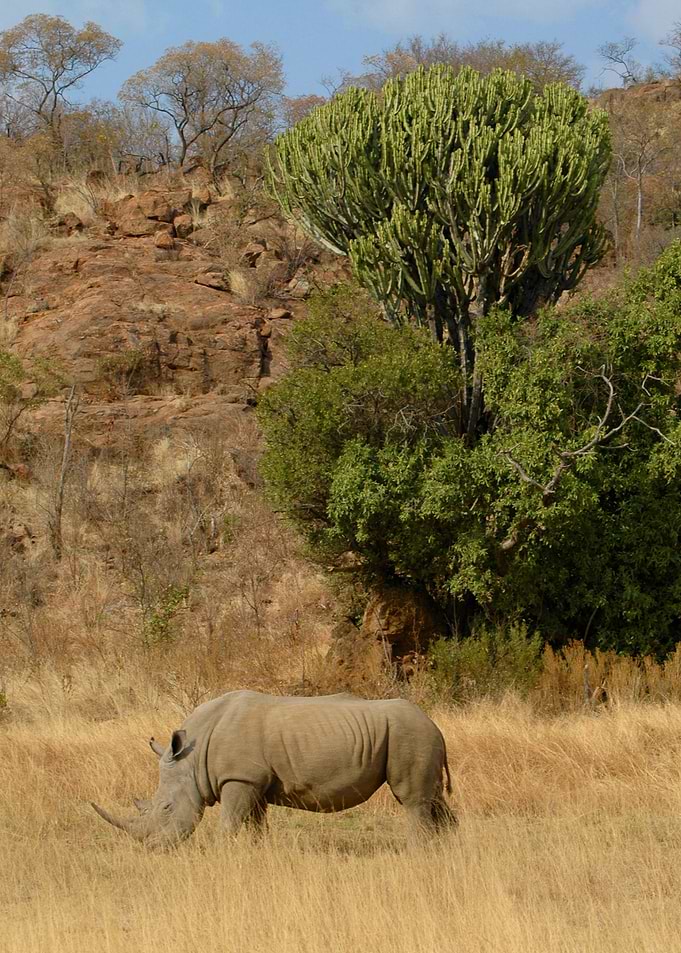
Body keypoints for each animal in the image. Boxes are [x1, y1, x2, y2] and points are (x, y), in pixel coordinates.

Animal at [92, 690, 455, 845]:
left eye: (167, 808)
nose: (153, 848)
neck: (193, 756)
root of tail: (434, 724)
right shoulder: (253, 782)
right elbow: (255, 824)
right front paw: (259, 854)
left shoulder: (239, 779)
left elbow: (229, 824)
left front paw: (220, 853)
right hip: (418, 737)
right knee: (435, 800)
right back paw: (445, 852)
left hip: (409, 735)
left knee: (413, 801)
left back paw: (418, 853)